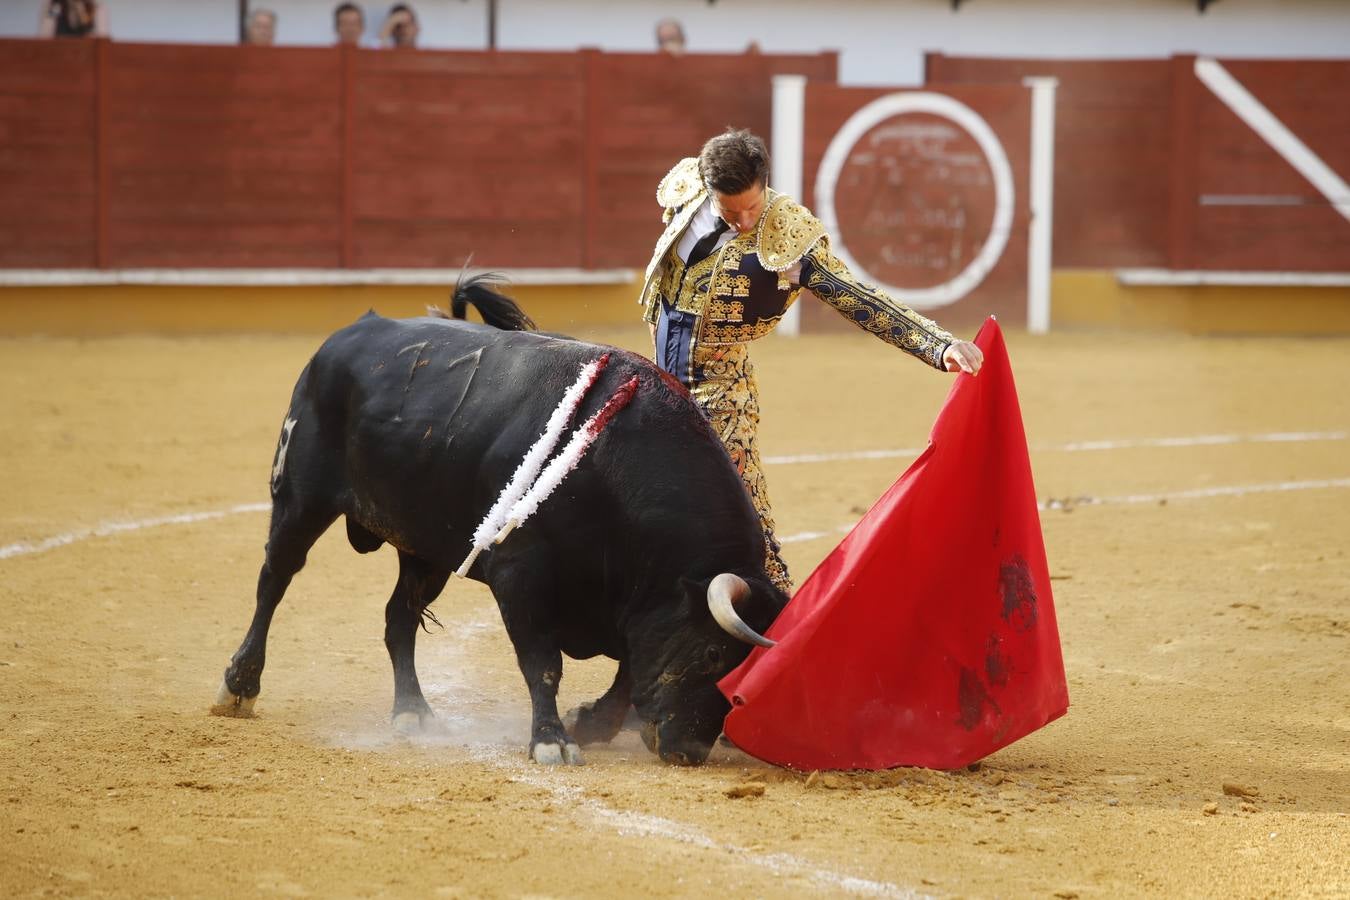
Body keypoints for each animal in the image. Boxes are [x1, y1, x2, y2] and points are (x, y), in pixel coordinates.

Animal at [205, 276, 788, 766]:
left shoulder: (635, 604)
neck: (613, 467)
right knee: (275, 579)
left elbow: (628, 671)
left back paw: (413, 712)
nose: (688, 750)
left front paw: (589, 725)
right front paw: (552, 741)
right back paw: (238, 687)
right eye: (713, 652)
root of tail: (351, 331)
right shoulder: (520, 574)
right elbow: (543, 662)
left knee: (398, 618)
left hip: (426, 549)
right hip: (300, 498)